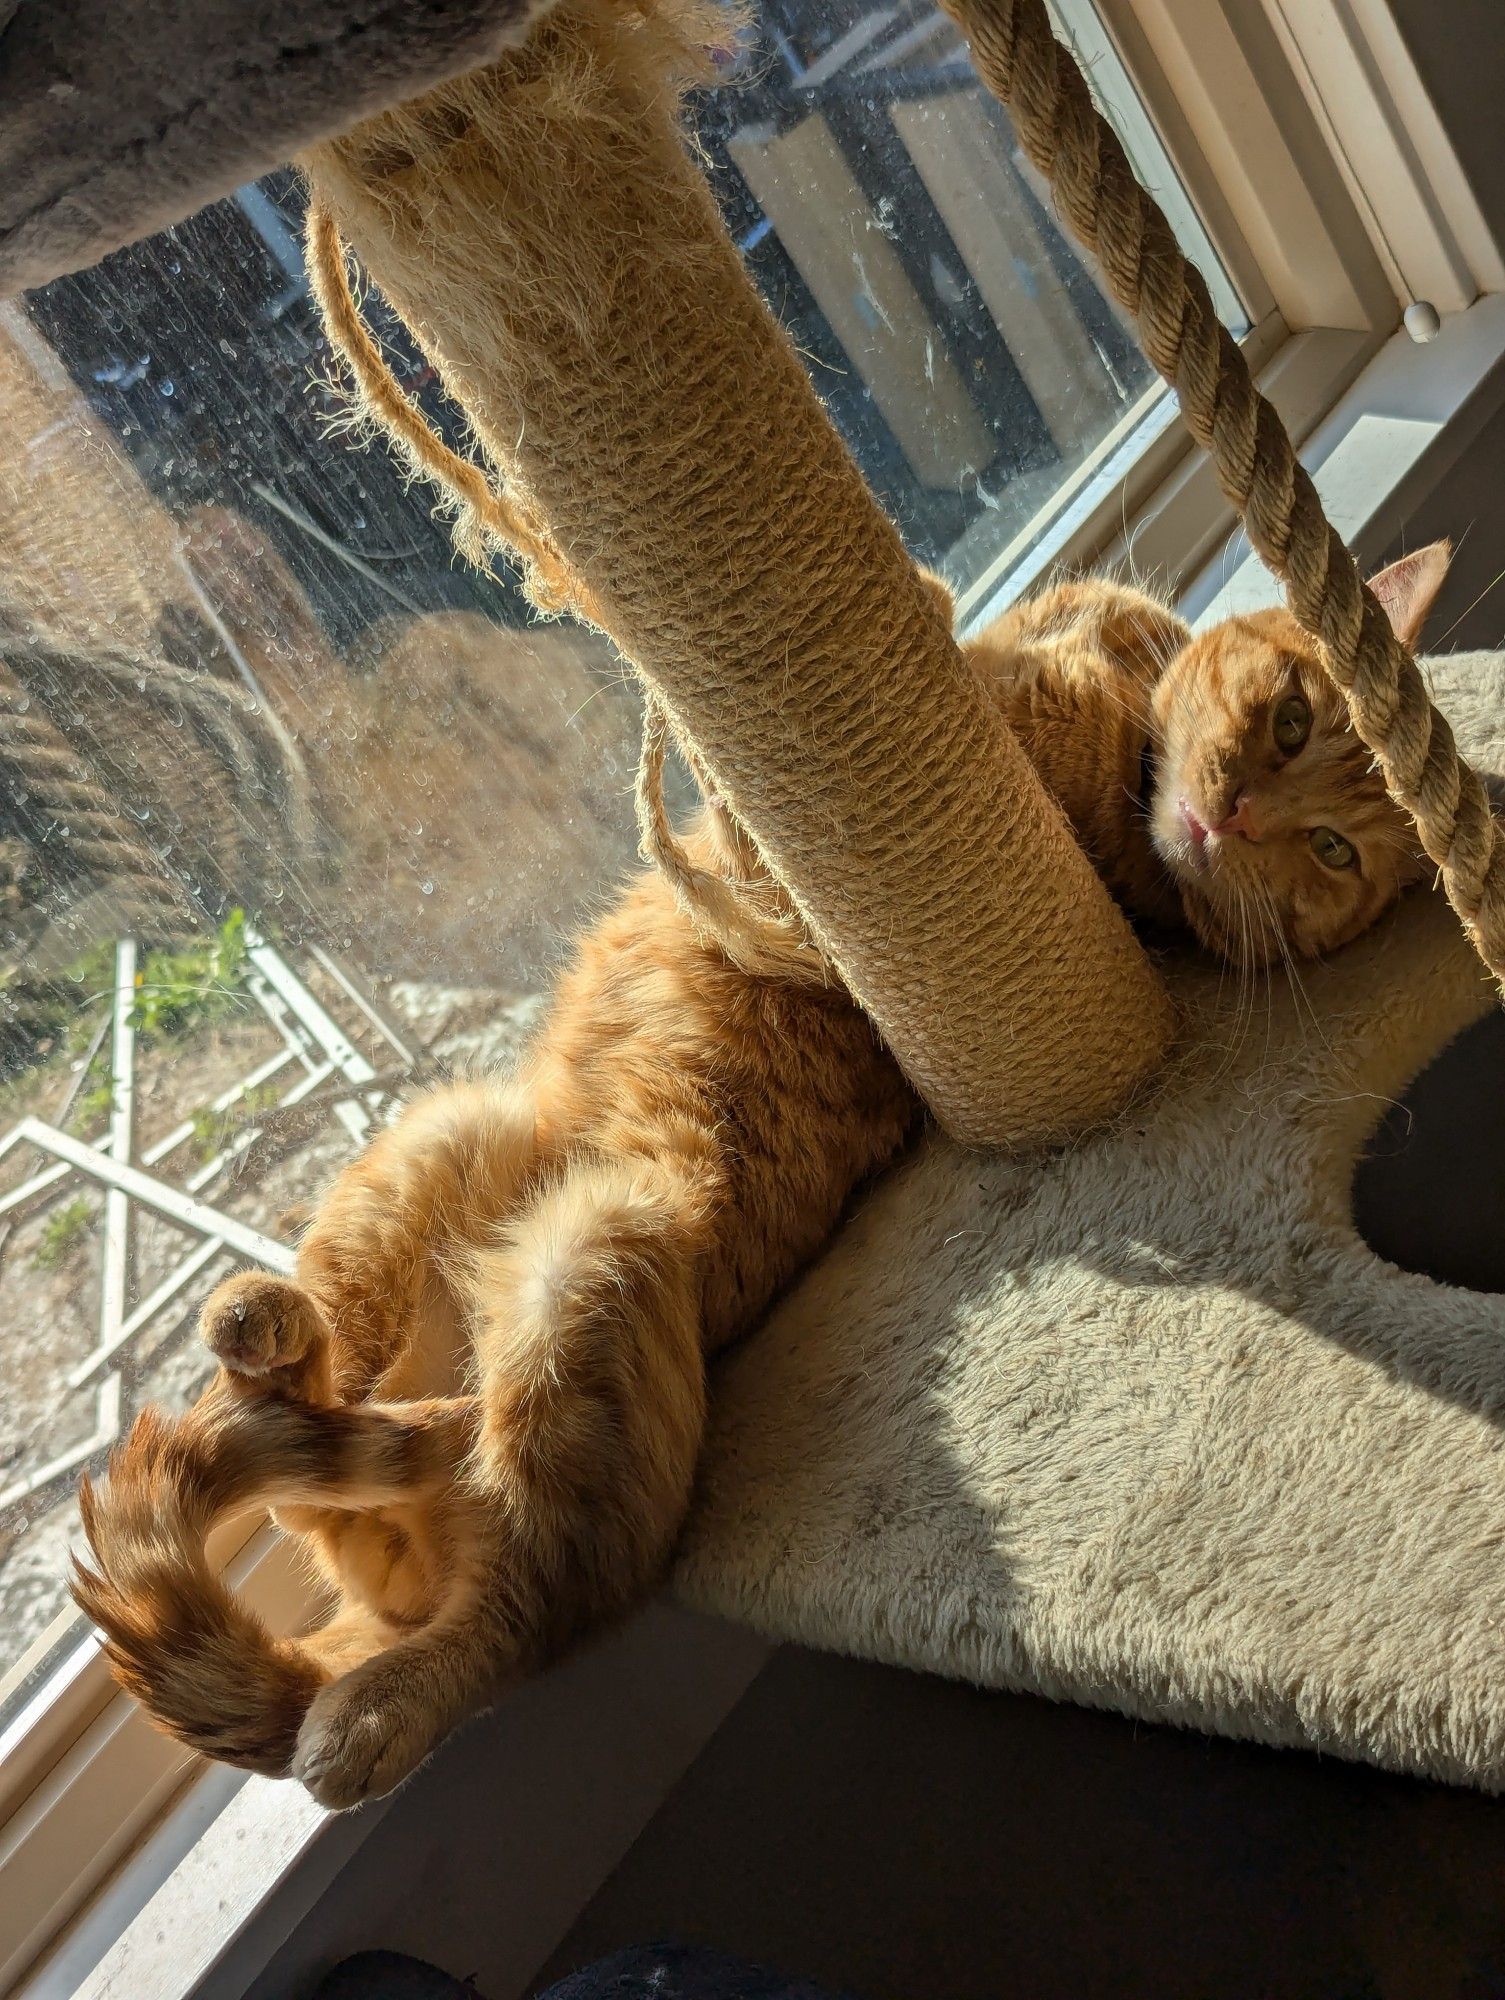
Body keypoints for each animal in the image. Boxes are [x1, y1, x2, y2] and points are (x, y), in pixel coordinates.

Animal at [70, 540, 1448, 1808]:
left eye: (1332, 849)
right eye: (1291, 718)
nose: (1242, 816)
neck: (1114, 740)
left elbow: (869, 713)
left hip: (590, 1274)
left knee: (536, 1599)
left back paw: (371, 1705)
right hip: (445, 1142)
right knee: (326, 1412)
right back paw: (272, 1342)